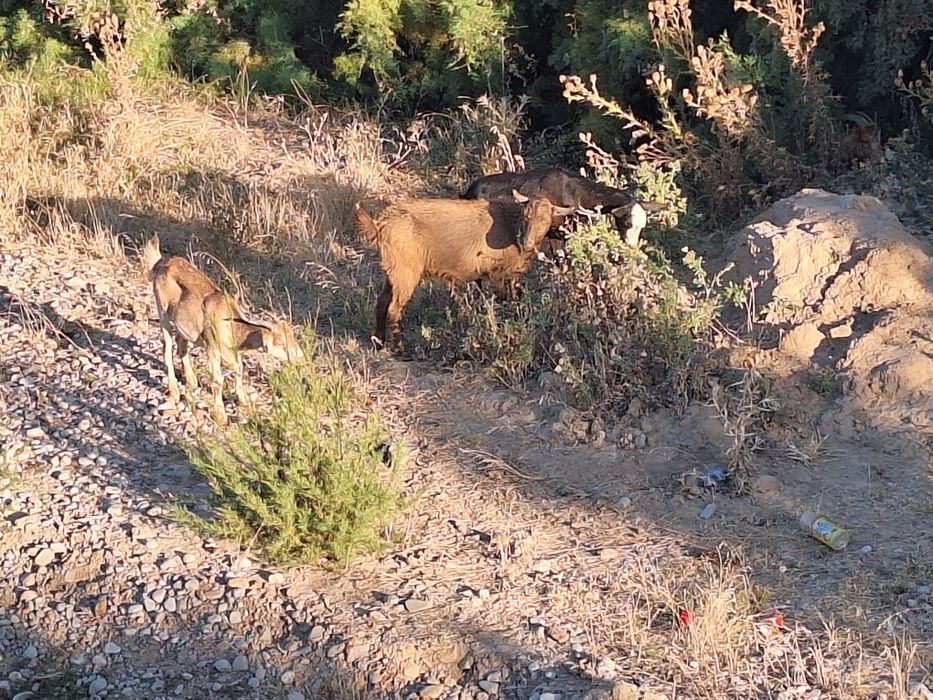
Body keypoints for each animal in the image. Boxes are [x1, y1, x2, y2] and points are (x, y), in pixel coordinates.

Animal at [142, 236, 303, 424]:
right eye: (281, 343)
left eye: (293, 338)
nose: (300, 356)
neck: (231, 324)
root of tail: (160, 263)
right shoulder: (212, 348)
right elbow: (218, 381)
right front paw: (221, 415)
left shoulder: (234, 352)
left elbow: (239, 368)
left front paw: (243, 401)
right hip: (163, 314)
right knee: (167, 350)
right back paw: (174, 392)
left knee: (181, 344)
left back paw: (192, 381)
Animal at [352, 190, 574, 354]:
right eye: (527, 216)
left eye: (545, 221)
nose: (528, 243)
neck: (513, 227)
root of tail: (381, 224)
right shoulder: (495, 273)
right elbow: (502, 302)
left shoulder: (514, 275)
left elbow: (516, 302)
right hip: (405, 272)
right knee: (394, 308)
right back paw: (399, 350)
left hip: (393, 271)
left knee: (381, 303)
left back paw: (378, 342)